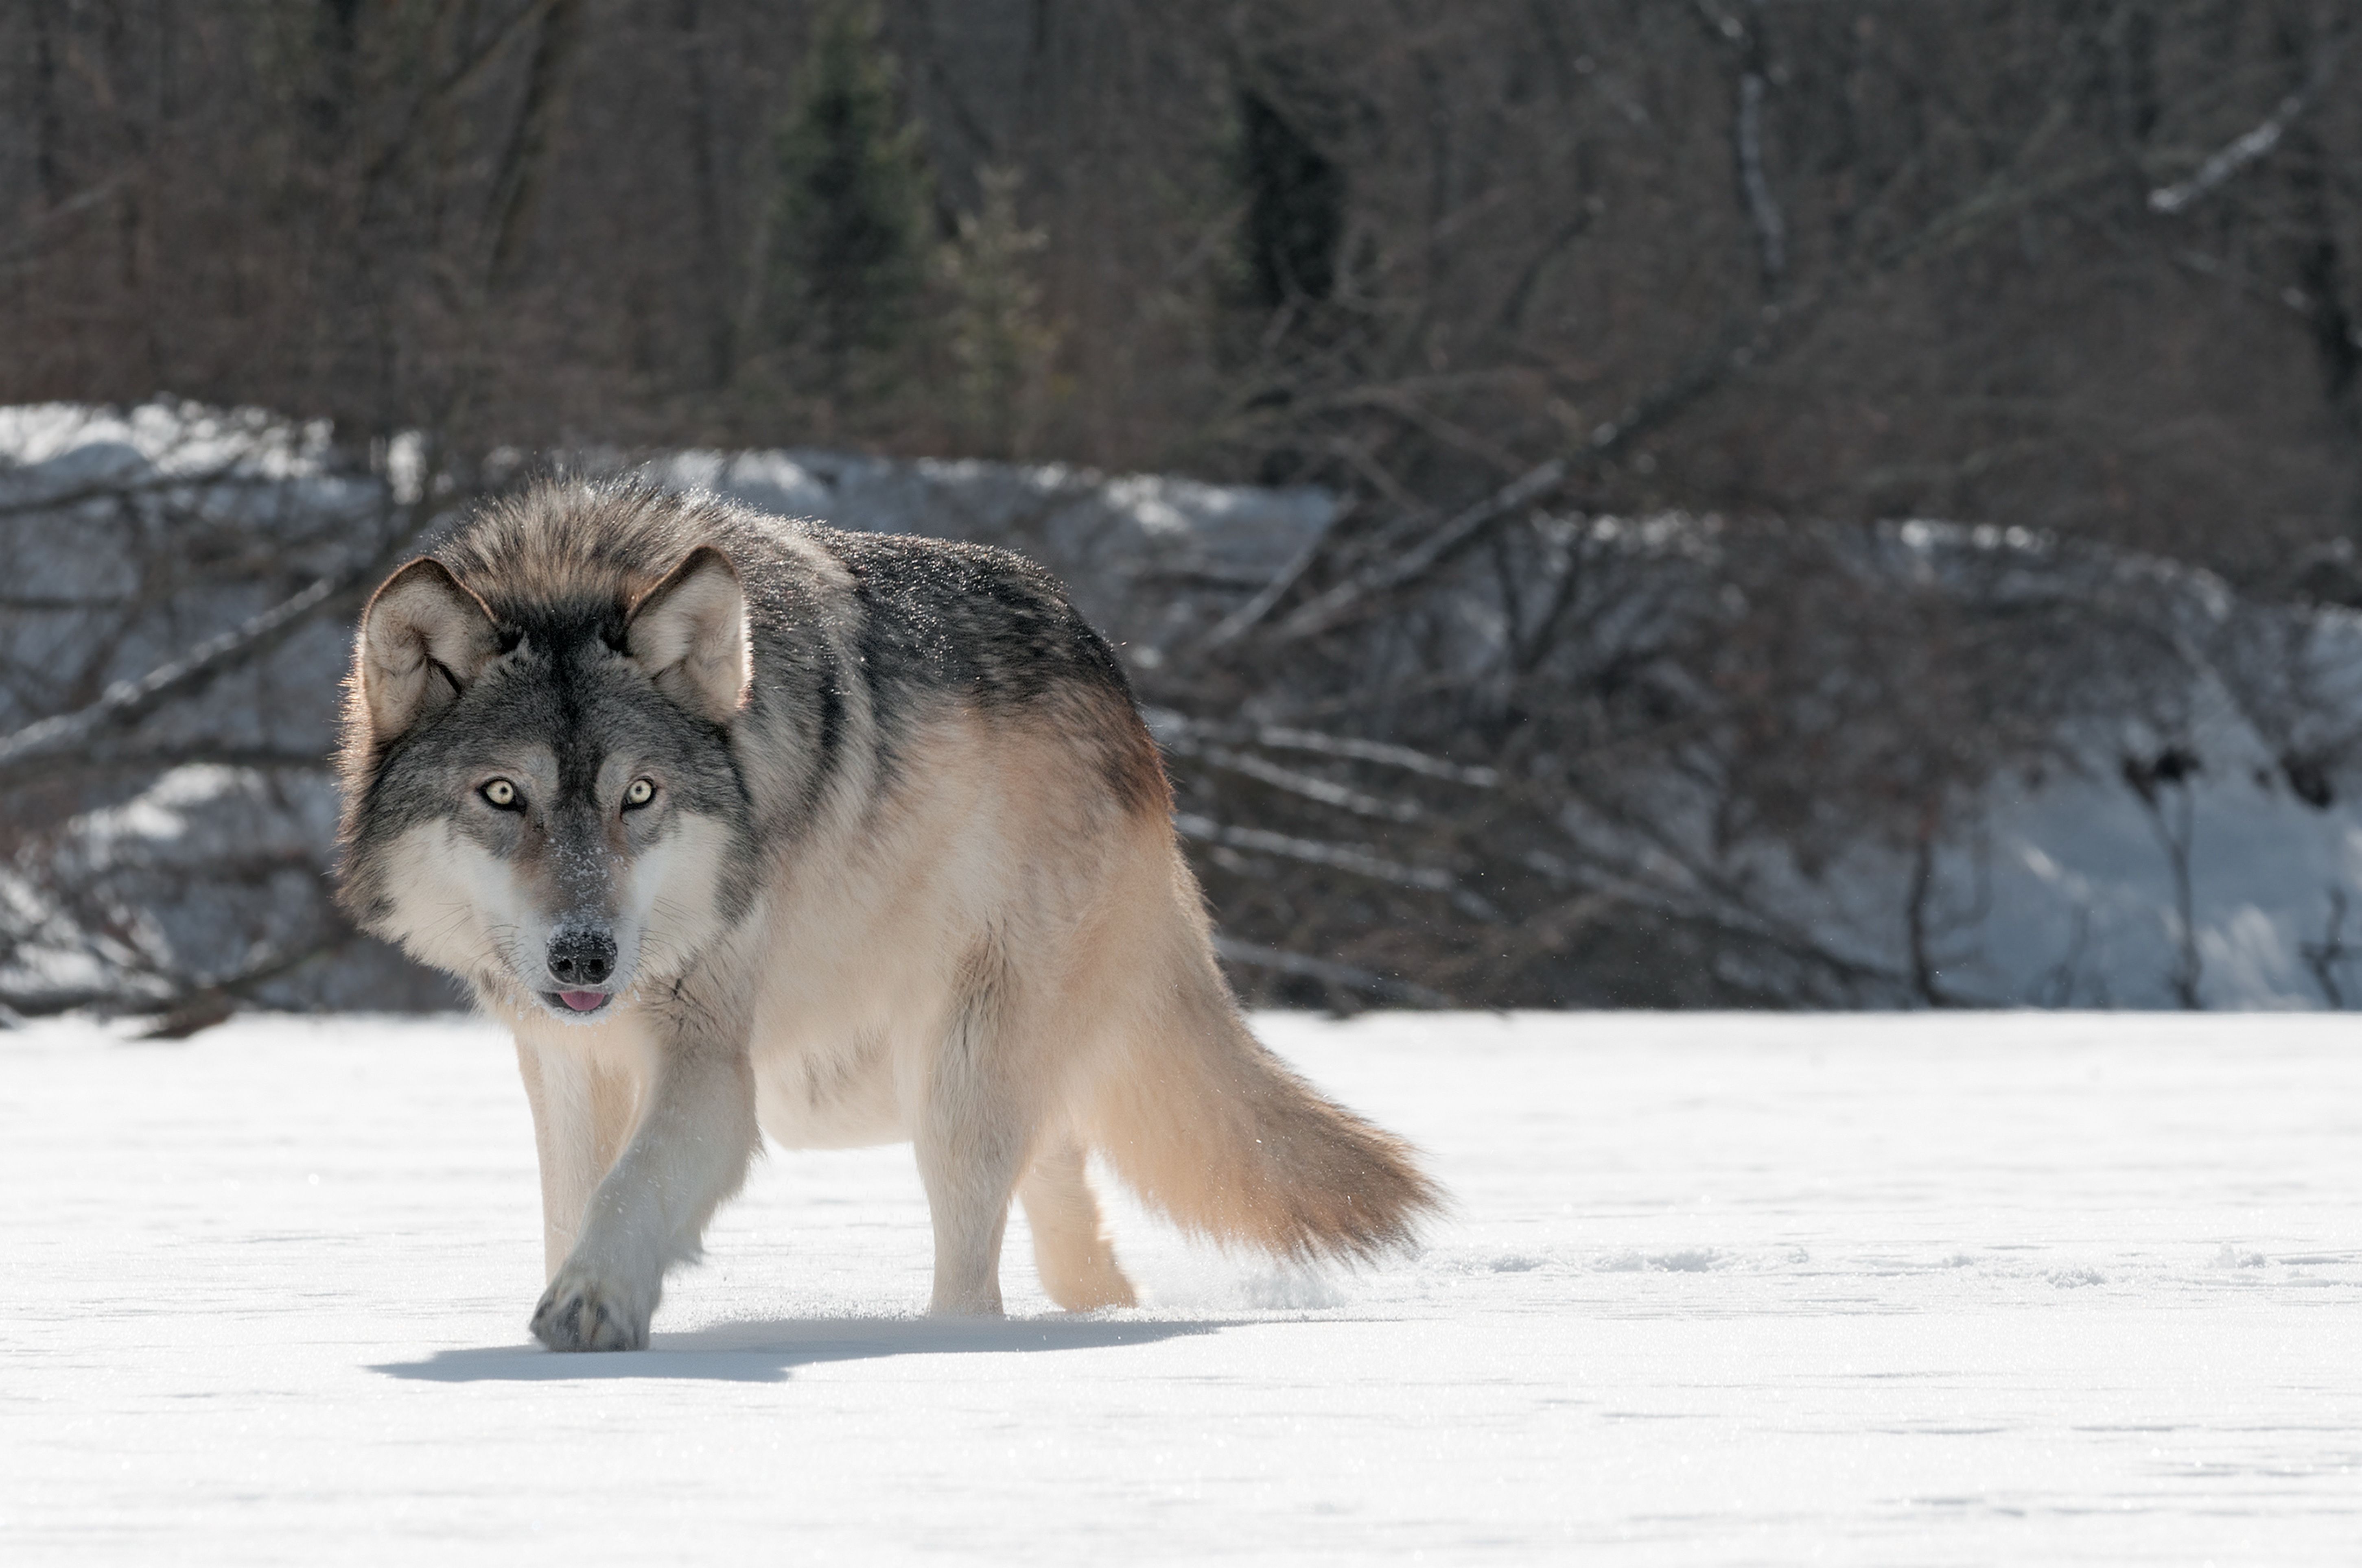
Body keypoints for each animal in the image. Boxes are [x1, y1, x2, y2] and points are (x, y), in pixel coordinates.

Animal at [335, 481, 1439, 1350]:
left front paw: (591, 1302)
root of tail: (1124, 701)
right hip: (862, 1082)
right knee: (1065, 1191)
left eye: (639, 796)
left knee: (978, 1272)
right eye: (503, 795)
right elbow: (575, 1200)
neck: (575, 569)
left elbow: (632, 1187)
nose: (586, 957)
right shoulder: (567, 1062)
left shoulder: (710, 1061)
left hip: (945, 1075)